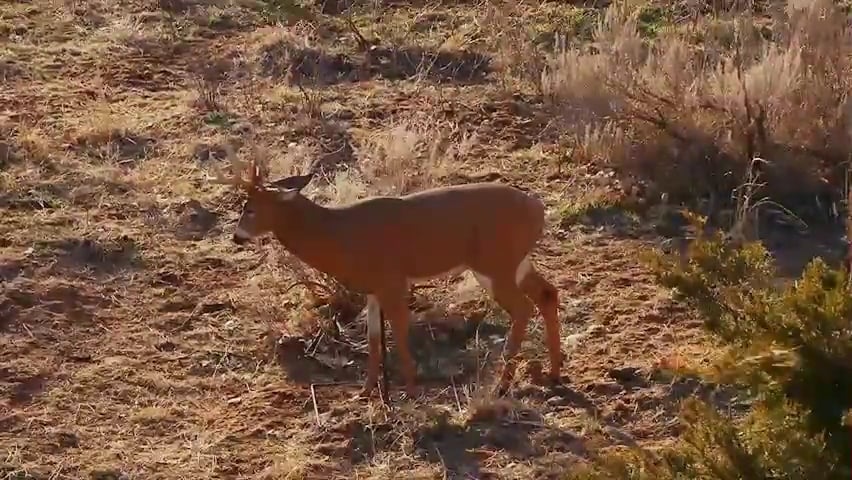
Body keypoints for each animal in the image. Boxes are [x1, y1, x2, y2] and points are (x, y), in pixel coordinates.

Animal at [209, 148, 564, 399]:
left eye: (250, 208)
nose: (237, 237)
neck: (339, 235)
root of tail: (538, 208)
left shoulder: (392, 279)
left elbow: (400, 332)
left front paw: (411, 389)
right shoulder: (373, 288)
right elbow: (374, 337)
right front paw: (366, 392)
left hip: (495, 263)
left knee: (523, 308)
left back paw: (502, 385)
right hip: (516, 262)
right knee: (548, 293)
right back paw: (553, 374)